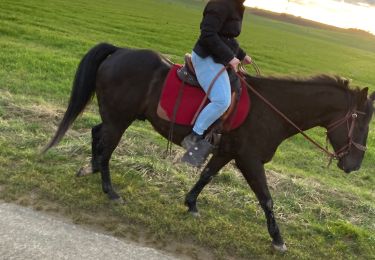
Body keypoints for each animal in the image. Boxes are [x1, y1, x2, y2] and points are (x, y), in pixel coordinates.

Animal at [44, 42, 375, 250]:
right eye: (360, 123)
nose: (354, 165)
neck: (271, 109)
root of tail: (119, 51)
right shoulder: (249, 159)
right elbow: (267, 199)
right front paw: (278, 239)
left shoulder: (228, 152)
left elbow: (206, 176)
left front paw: (191, 203)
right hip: (119, 119)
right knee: (107, 147)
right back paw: (110, 190)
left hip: (116, 117)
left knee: (98, 134)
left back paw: (90, 168)